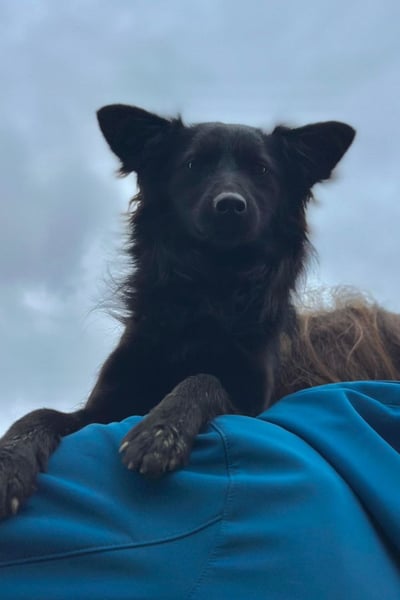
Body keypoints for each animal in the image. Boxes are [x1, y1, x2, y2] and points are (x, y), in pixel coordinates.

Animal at [0, 104, 355, 518]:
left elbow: (203, 378)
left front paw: (160, 432)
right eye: (192, 165)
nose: (230, 205)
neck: (211, 286)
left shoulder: (252, 410)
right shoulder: (101, 409)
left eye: (262, 170)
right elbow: (39, 414)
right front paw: (10, 460)